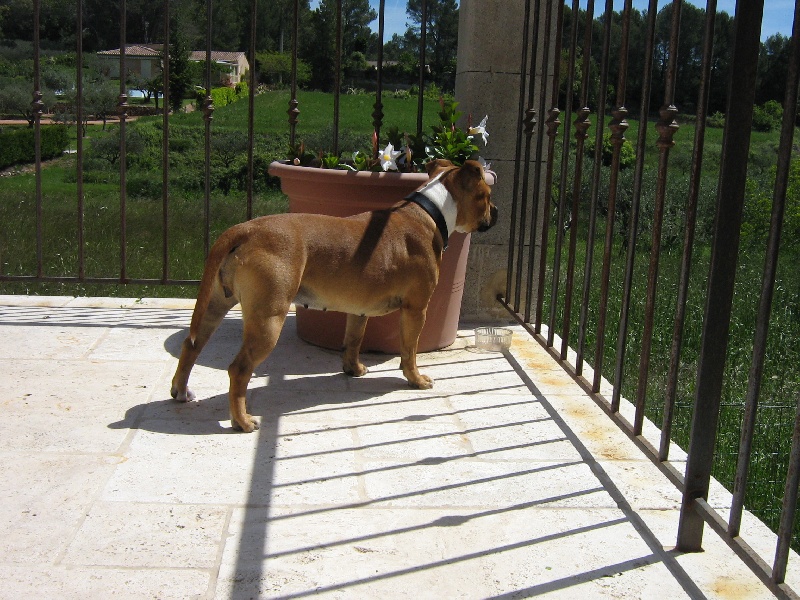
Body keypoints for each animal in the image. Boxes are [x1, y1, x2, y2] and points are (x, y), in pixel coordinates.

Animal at [170, 158, 497, 432]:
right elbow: (410, 350)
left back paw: (180, 391)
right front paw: (415, 379)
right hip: (268, 320)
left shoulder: (359, 309)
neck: (431, 210)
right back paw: (242, 421)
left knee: (192, 345)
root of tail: (243, 230)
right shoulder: (416, 309)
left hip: (214, 305)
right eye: (487, 196)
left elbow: (353, 339)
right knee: (238, 369)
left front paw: (353, 369)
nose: (496, 212)